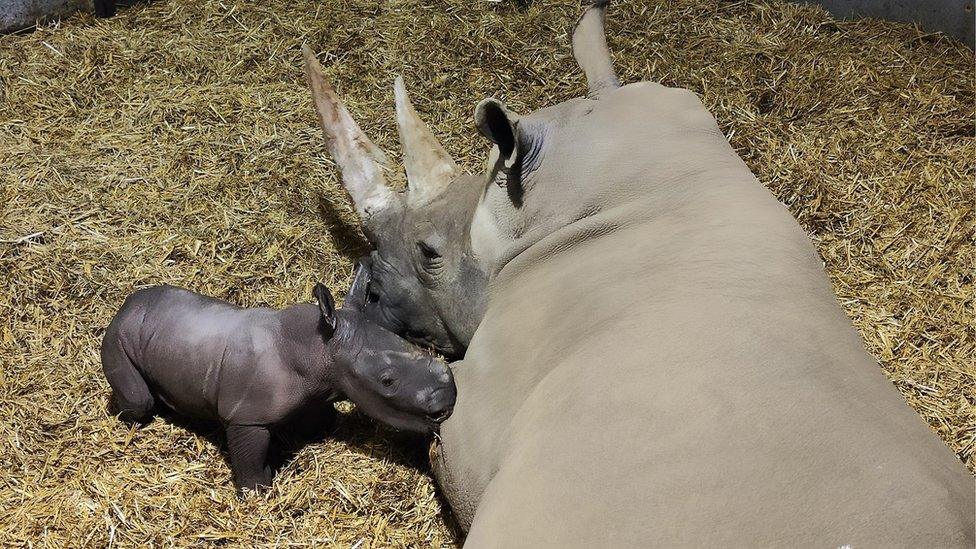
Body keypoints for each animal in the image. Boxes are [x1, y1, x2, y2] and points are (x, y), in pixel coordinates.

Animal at [101, 262, 456, 492]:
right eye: (386, 381)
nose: (448, 402)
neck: (319, 346)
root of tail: (126, 304)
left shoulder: (317, 387)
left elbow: (317, 416)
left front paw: (320, 429)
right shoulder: (246, 415)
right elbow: (250, 455)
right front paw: (259, 488)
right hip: (118, 335)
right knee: (139, 401)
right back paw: (137, 417)